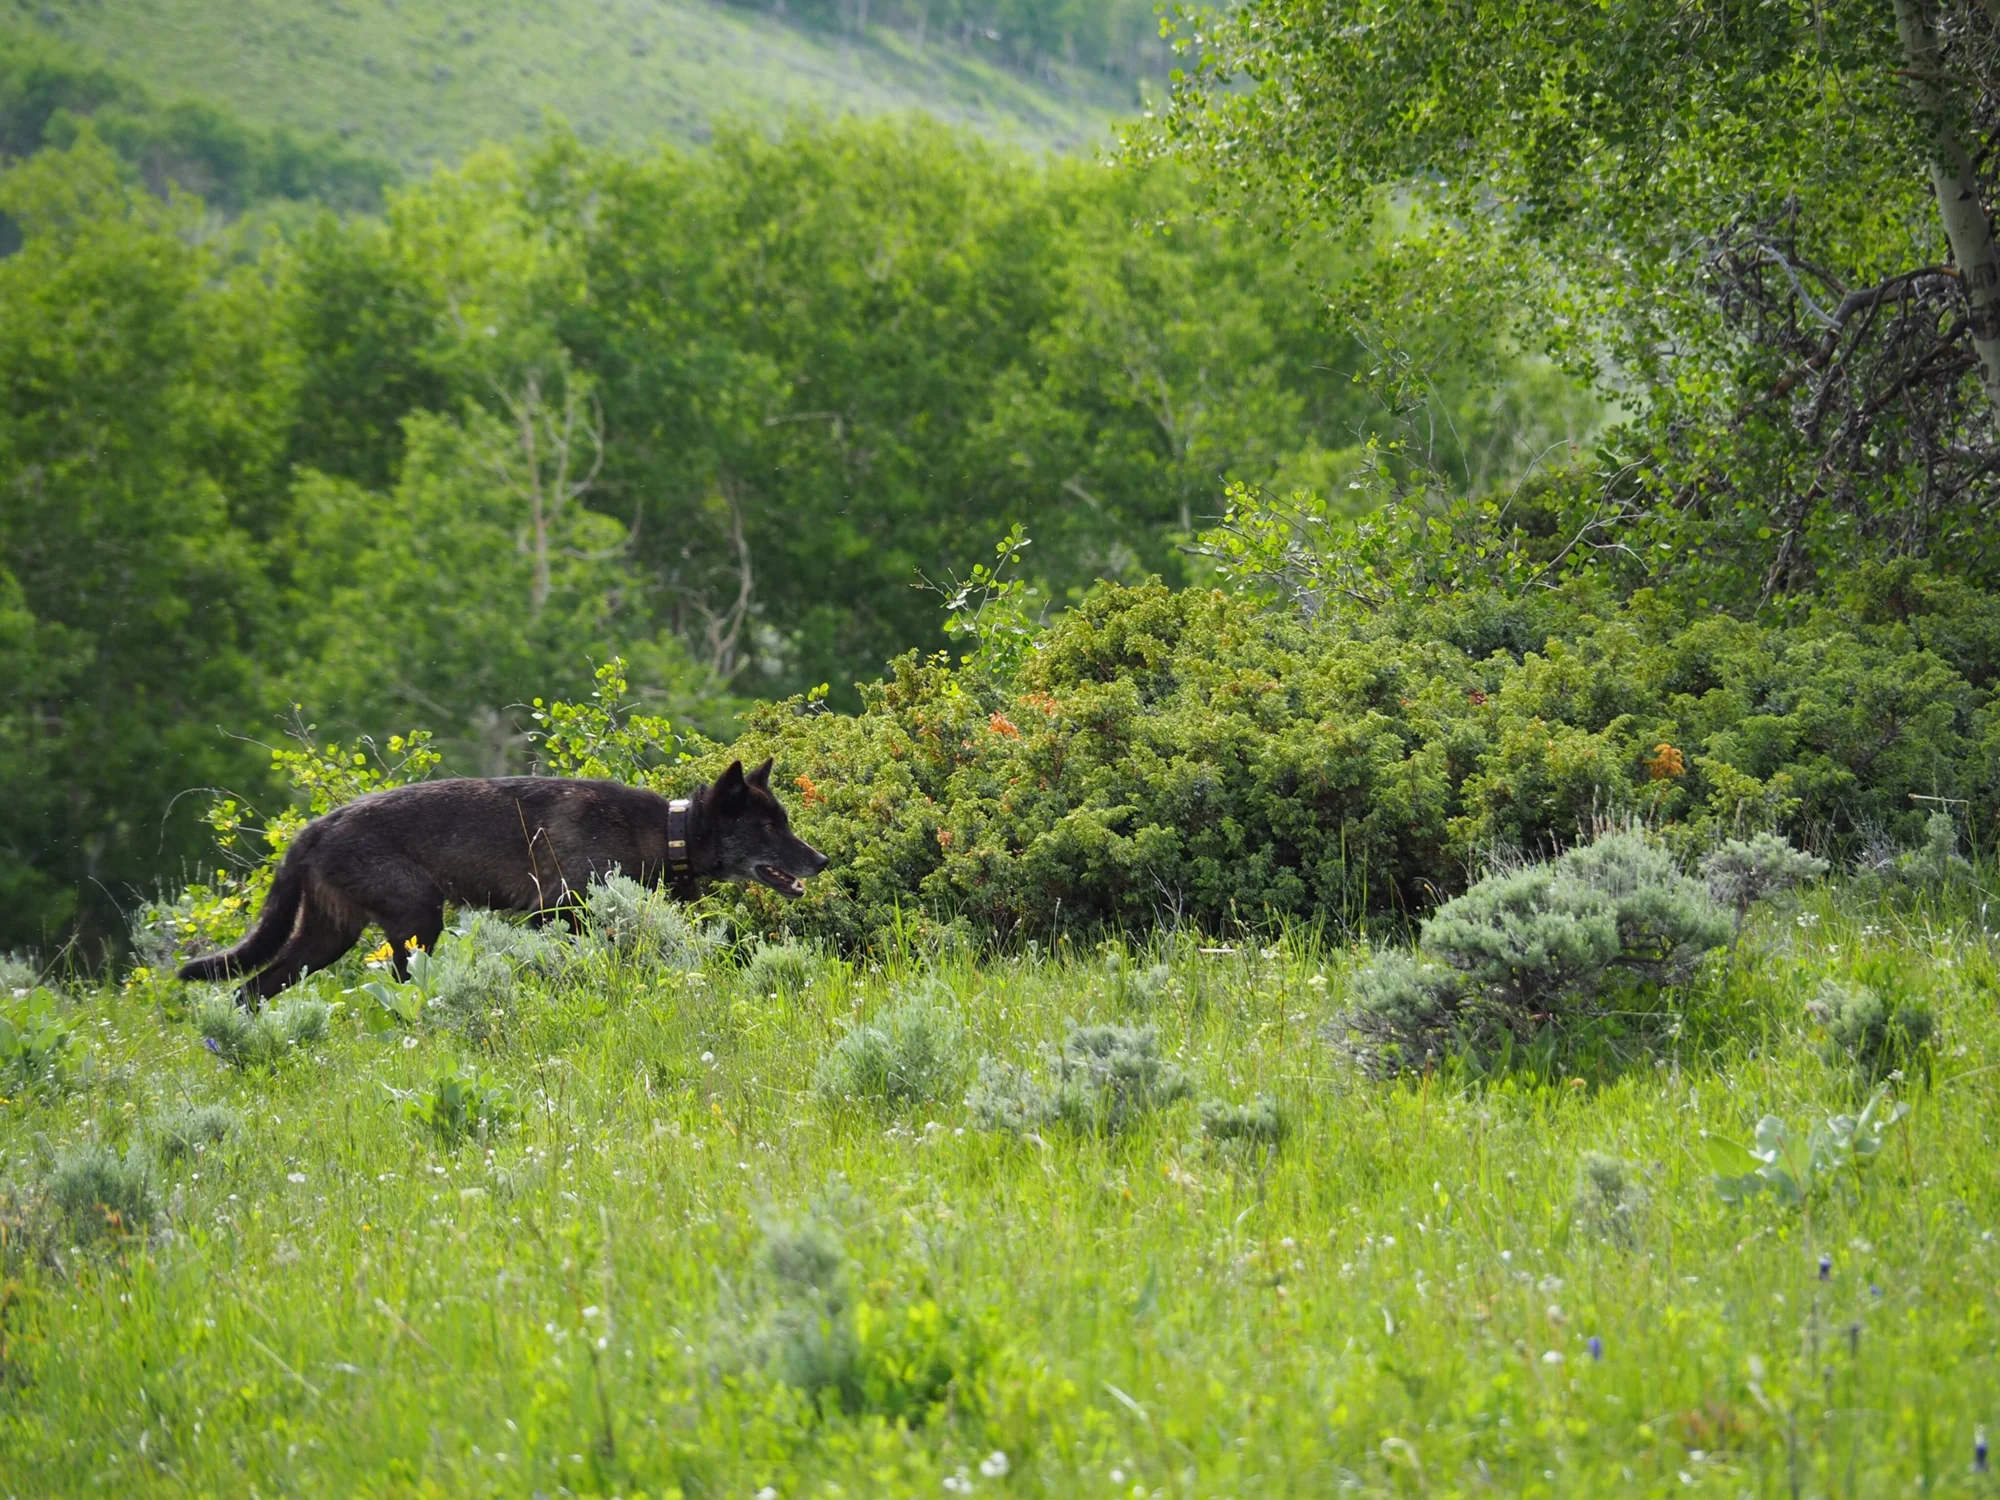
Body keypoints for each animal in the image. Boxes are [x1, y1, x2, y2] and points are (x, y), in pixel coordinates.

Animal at [176, 758, 827, 1004]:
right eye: (769, 827)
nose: (820, 861)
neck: (665, 831)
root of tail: (313, 827)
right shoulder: (549, 914)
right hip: (417, 923)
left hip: (325, 940)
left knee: (248, 990)